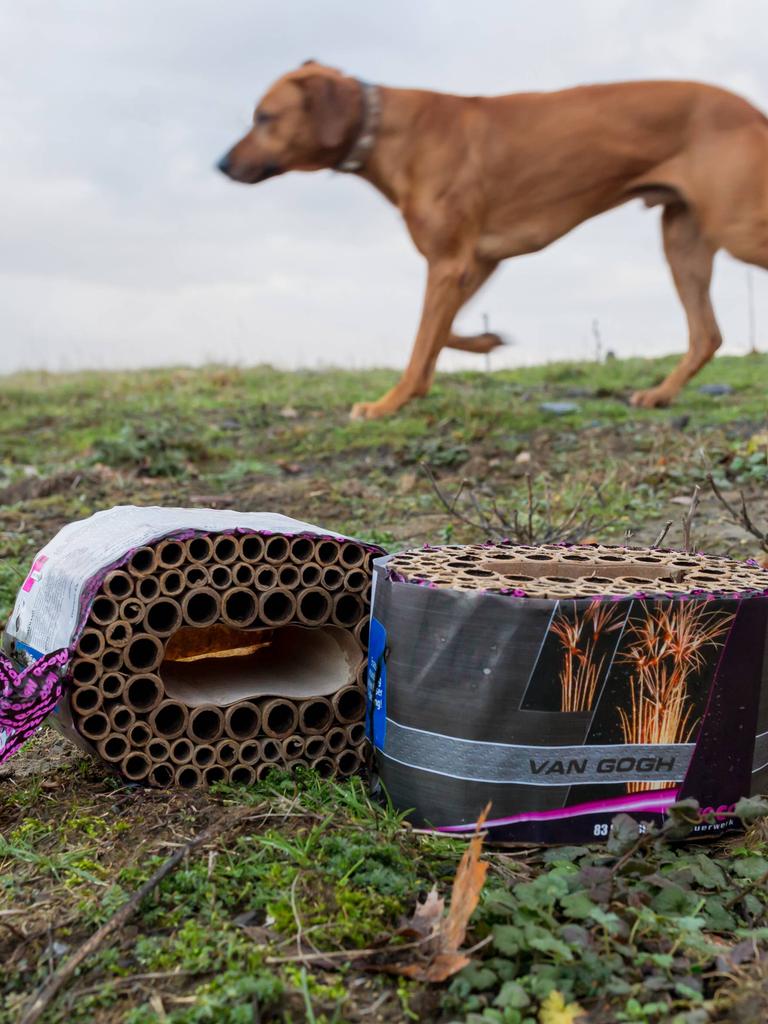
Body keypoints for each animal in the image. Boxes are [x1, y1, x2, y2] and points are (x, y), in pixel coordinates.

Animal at [218, 64, 768, 417]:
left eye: (264, 117)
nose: (220, 164)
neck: (392, 133)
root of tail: (752, 111)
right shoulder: (475, 260)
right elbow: (439, 332)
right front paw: (483, 344)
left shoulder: (448, 262)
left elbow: (422, 338)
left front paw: (387, 403)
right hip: (682, 237)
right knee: (707, 334)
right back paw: (661, 394)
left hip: (736, 227)